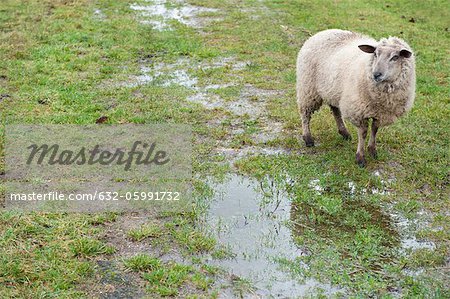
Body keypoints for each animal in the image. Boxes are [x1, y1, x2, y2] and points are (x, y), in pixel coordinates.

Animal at [298, 29, 416, 168]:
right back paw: (308, 138)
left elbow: (375, 130)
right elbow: (363, 133)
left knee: (335, 110)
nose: (376, 74)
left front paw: (372, 151)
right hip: (308, 88)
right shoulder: (358, 111)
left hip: (333, 90)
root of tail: (323, 32)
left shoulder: (380, 113)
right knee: (305, 113)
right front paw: (360, 158)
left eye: (395, 57)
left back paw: (344, 132)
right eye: (375, 54)